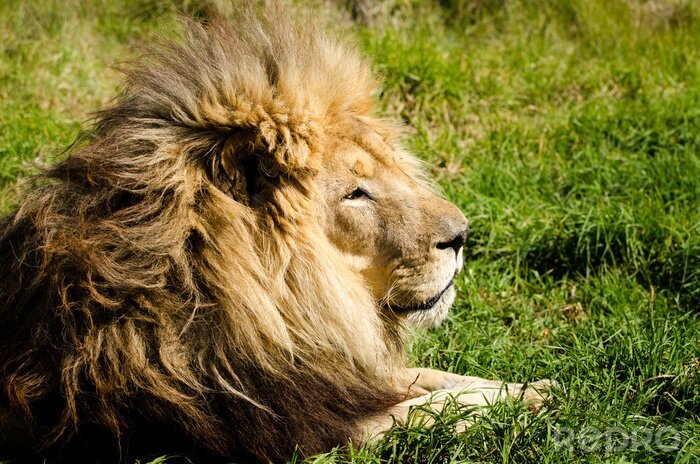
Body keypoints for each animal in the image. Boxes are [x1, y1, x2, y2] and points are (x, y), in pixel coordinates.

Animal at [0, 8, 553, 463]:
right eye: (356, 194)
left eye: (391, 166)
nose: (461, 235)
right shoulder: (295, 429)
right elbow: (432, 408)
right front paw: (526, 399)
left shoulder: (323, 370)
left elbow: (438, 379)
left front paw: (537, 384)